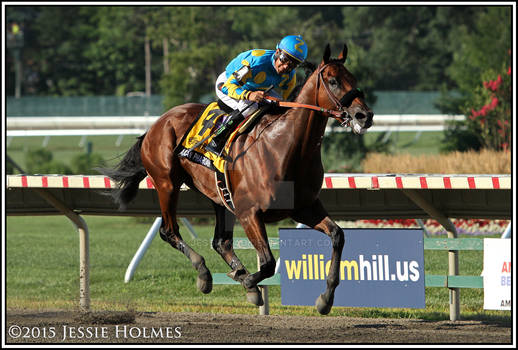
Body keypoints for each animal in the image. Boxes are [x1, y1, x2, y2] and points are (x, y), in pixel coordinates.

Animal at [98, 43, 374, 314]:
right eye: (333, 80)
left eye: (353, 78)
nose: (365, 115)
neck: (286, 148)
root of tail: (156, 124)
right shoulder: (249, 212)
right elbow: (268, 263)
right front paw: (247, 281)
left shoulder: (304, 207)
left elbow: (338, 235)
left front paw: (325, 298)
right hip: (167, 183)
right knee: (169, 231)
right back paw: (204, 273)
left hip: (218, 195)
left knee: (220, 241)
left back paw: (236, 272)